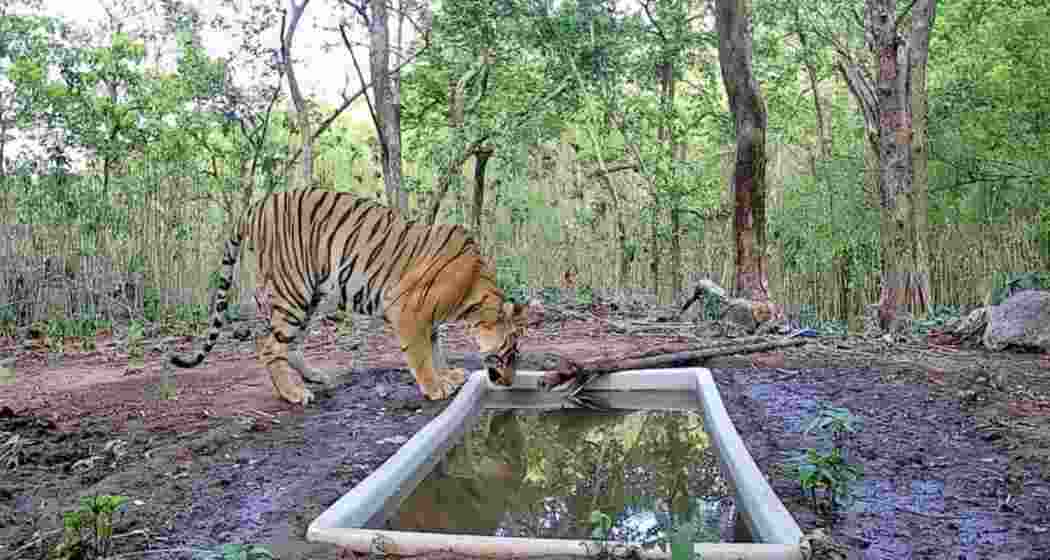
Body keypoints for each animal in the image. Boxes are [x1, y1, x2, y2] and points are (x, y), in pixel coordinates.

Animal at [170, 188, 530, 406]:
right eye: (510, 352)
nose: (509, 383)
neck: (474, 292)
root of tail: (257, 205)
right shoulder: (408, 309)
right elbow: (421, 355)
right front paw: (435, 387)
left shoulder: (429, 319)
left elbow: (436, 349)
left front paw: (449, 375)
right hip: (293, 289)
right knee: (269, 345)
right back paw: (294, 393)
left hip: (310, 295)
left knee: (289, 343)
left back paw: (313, 376)